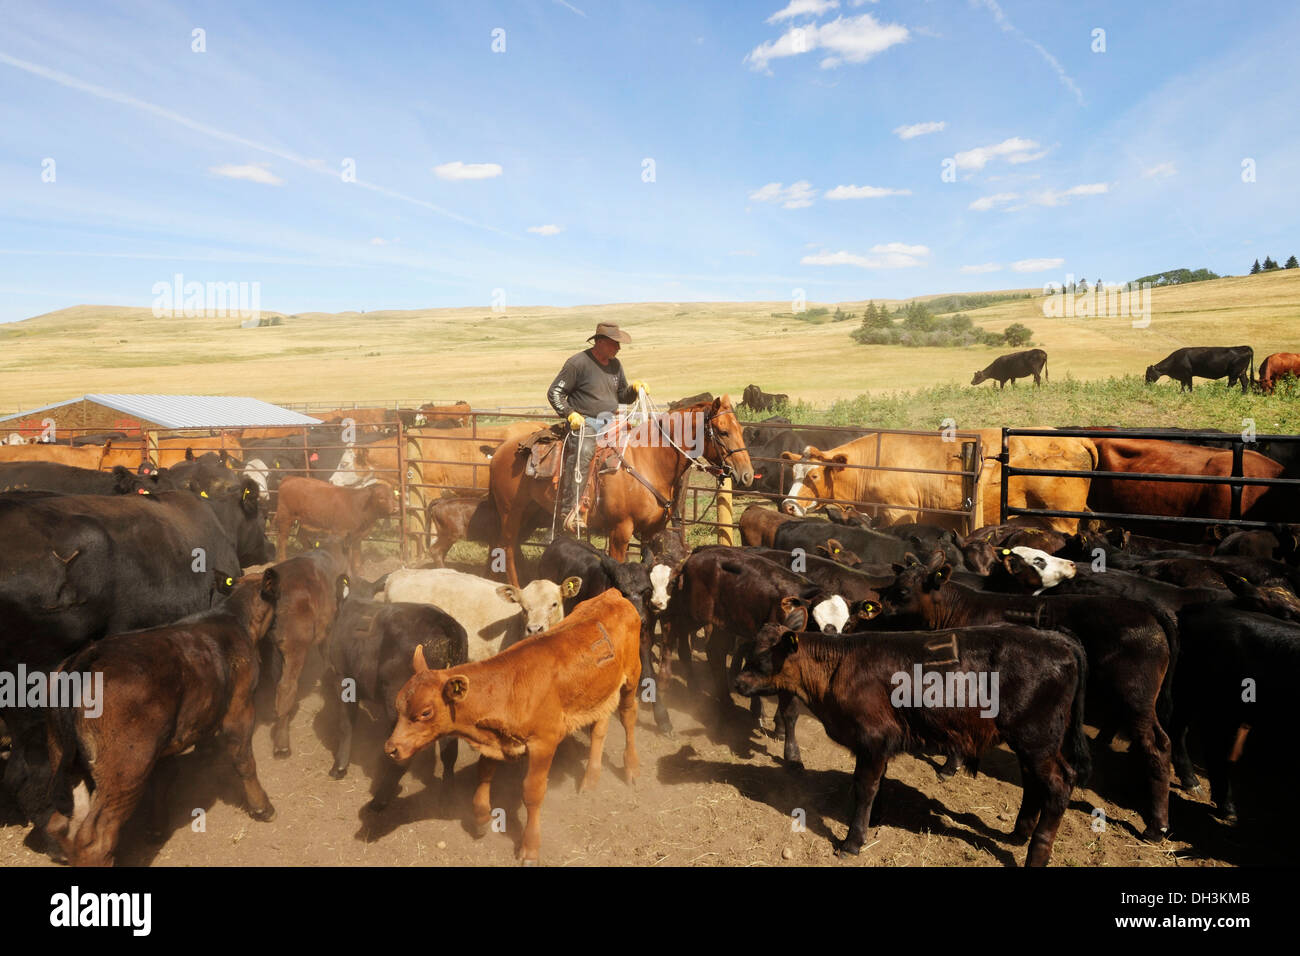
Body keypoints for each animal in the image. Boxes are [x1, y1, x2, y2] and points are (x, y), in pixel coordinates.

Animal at [382, 590, 642, 868]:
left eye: (425, 712)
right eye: (398, 704)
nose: (391, 748)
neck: (510, 685)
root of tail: (612, 595)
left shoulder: (544, 742)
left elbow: (532, 792)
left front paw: (530, 848)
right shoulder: (496, 740)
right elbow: (484, 773)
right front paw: (482, 818)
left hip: (632, 676)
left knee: (628, 715)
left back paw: (631, 768)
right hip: (600, 691)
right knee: (599, 727)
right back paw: (591, 778)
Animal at [488, 395, 754, 587]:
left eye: (741, 429)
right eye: (723, 432)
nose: (747, 474)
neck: (649, 461)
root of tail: (502, 449)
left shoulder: (650, 531)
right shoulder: (620, 530)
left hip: (530, 513)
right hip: (511, 512)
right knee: (506, 548)